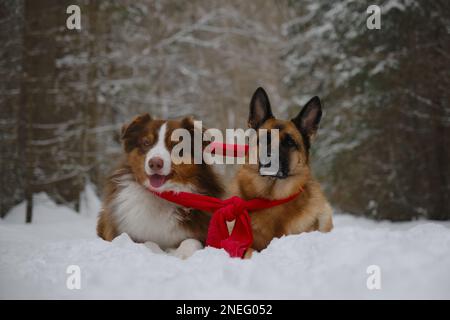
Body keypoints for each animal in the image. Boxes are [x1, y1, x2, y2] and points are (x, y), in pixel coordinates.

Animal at [96, 114, 223, 258]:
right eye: (146, 143)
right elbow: (147, 243)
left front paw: (180, 254)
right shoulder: (127, 233)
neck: (162, 195)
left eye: (175, 145)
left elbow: (191, 241)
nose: (155, 163)